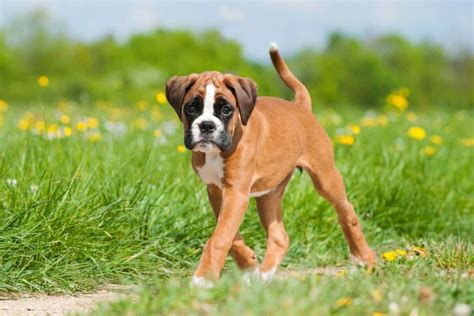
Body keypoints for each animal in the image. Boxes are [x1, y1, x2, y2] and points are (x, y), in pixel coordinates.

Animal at [165, 42, 376, 288]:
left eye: (226, 109)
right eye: (192, 108)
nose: (207, 125)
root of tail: (301, 106)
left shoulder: (235, 194)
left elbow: (220, 238)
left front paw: (204, 278)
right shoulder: (218, 192)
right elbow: (230, 235)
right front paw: (248, 265)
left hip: (325, 178)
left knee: (347, 212)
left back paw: (365, 258)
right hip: (269, 195)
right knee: (279, 237)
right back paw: (264, 274)